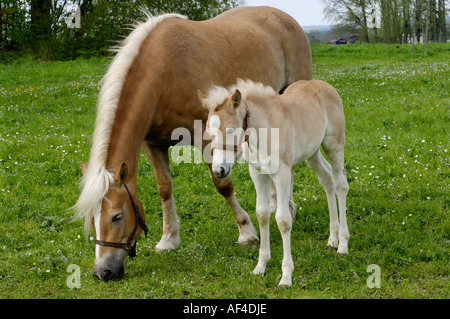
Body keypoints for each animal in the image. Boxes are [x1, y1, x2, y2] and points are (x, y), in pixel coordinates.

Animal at [74, 6, 312, 282]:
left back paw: (286, 207)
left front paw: (246, 232)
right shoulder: (152, 143)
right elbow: (164, 188)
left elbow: (222, 185)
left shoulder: (207, 138)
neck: (162, 74)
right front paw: (168, 238)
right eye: (92, 219)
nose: (103, 271)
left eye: (117, 216)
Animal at [199, 79, 350, 288]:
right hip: (312, 152)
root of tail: (323, 84)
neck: (265, 129)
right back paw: (332, 240)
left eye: (230, 130)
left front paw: (286, 276)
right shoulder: (257, 173)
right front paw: (260, 266)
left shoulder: (282, 173)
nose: (218, 170)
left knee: (340, 184)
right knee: (327, 179)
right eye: (209, 132)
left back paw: (343, 244)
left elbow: (283, 220)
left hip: (334, 145)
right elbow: (262, 214)